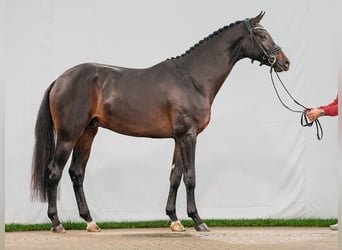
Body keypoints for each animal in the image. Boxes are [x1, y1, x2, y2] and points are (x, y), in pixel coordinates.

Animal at [31, 11, 288, 233]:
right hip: (68, 135)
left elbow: (175, 177)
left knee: (77, 173)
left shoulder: (178, 138)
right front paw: (198, 220)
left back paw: (90, 222)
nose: (285, 63)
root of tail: (60, 80)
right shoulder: (188, 136)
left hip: (87, 133)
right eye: (262, 35)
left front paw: (175, 220)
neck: (192, 78)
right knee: (54, 172)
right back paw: (56, 223)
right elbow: (190, 177)